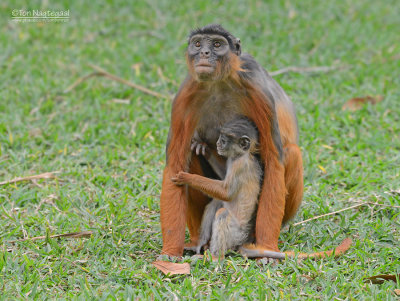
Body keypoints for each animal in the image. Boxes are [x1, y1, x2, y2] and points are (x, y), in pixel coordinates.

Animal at [170, 115, 260, 255]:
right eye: (220, 138)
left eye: (223, 140)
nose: (217, 144)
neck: (242, 155)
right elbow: (223, 180)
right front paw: (205, 150)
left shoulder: (239, 165)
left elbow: (226, 193)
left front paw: (187, 178)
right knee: (216, 203)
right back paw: (200, 244)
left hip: (236, 233)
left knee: (222, 213)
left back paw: (214, 257)